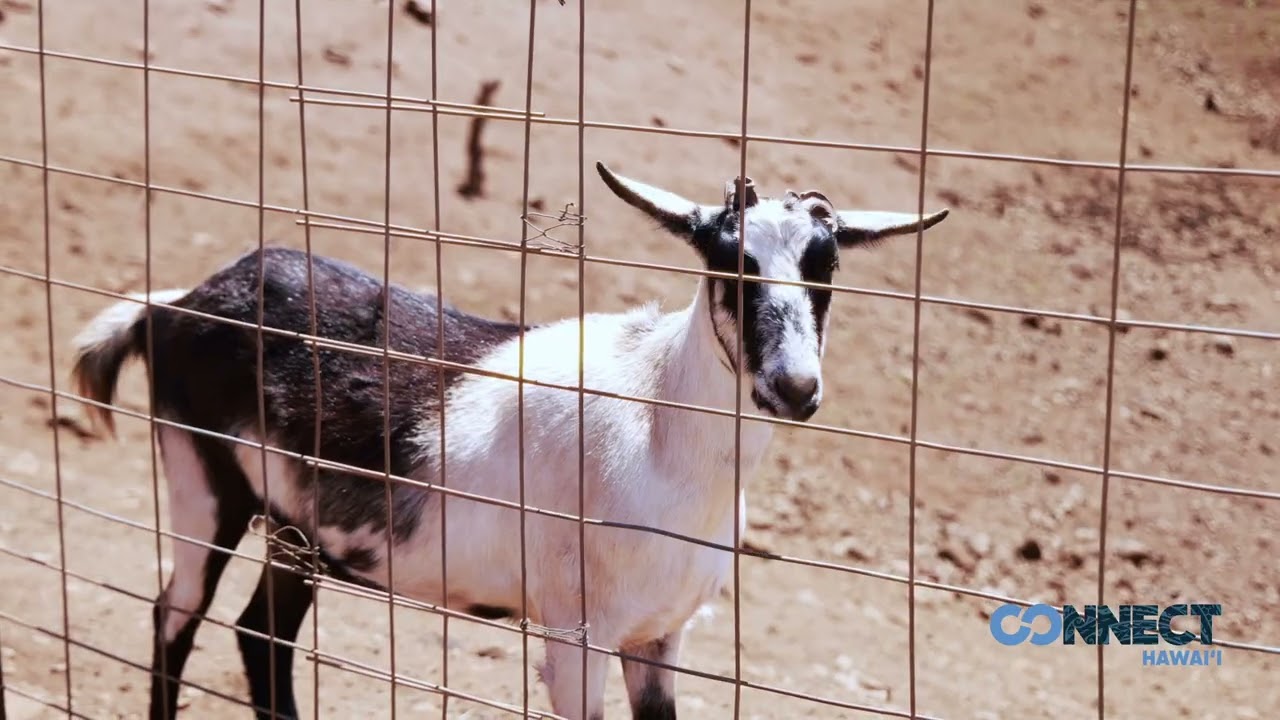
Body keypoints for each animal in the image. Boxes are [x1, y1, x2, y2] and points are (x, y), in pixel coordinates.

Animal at [71, 162, 948, 720]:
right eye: (729, 264)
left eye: (825, 268)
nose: (794, 388)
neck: (659, 420)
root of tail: (174, 304)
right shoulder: (576, 638)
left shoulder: (659, 636)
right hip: (200, 480)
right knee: (175, 615)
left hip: (296, 528)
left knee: (261, 635)